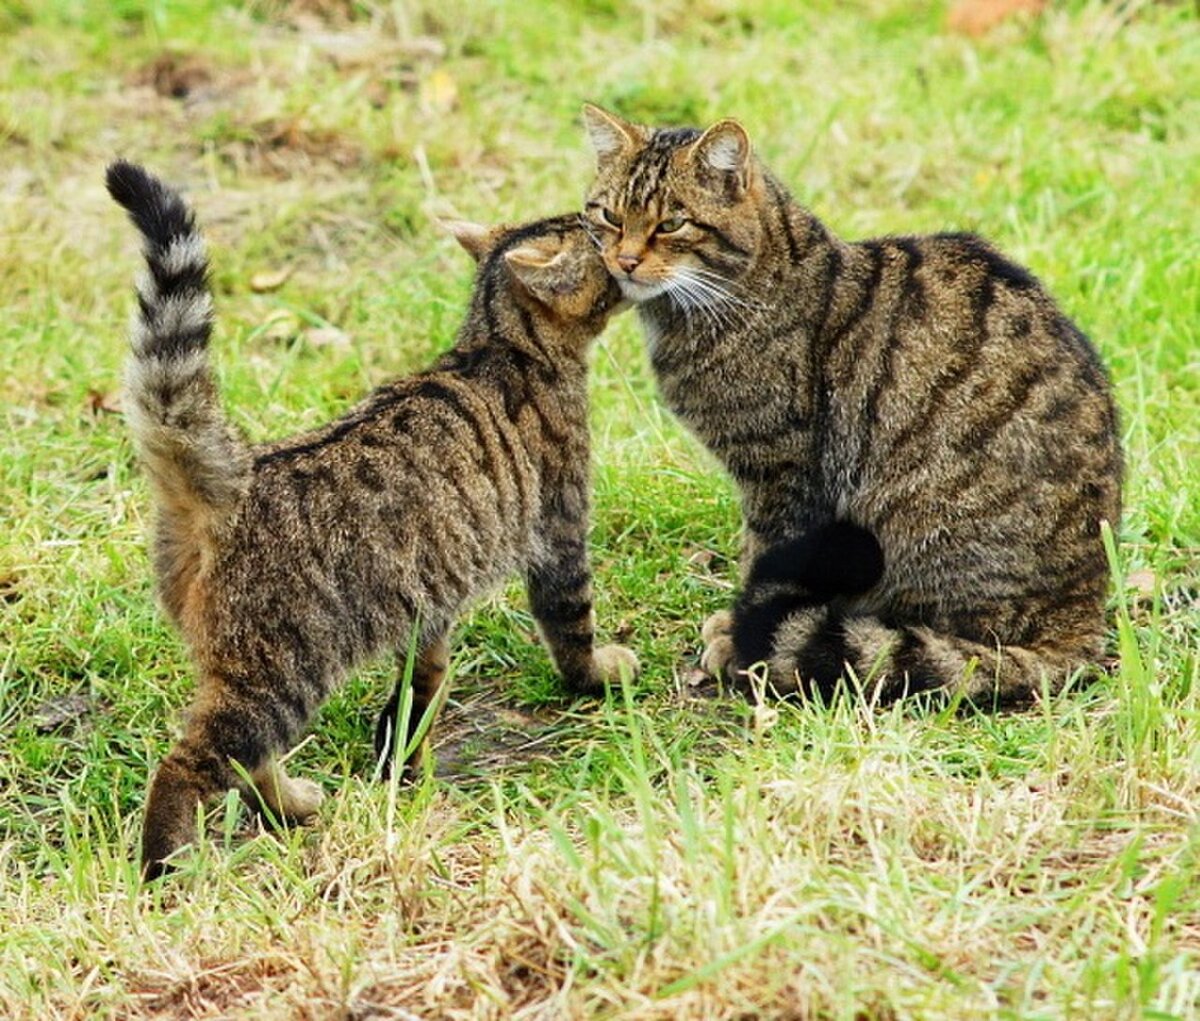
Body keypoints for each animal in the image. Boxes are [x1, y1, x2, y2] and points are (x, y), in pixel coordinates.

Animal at [108, 161, 638, 878]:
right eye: (604, 232)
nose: (633, 249)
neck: (499, 344)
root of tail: (234, 476)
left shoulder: (432, 586)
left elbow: (424, 677)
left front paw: (403, 757)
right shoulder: (559, 533)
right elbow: (570, 627)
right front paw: (598, 675)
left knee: (245, 760)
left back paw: (291, 806)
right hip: (279, 670)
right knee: (191, 761)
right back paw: (170, 864)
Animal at [580, 107, 1123, 705]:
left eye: (672, 224)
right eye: (608, 215)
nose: (624, 261)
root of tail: (1082, 617)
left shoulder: (782, 471)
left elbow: (760, 555)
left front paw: (737, 635)